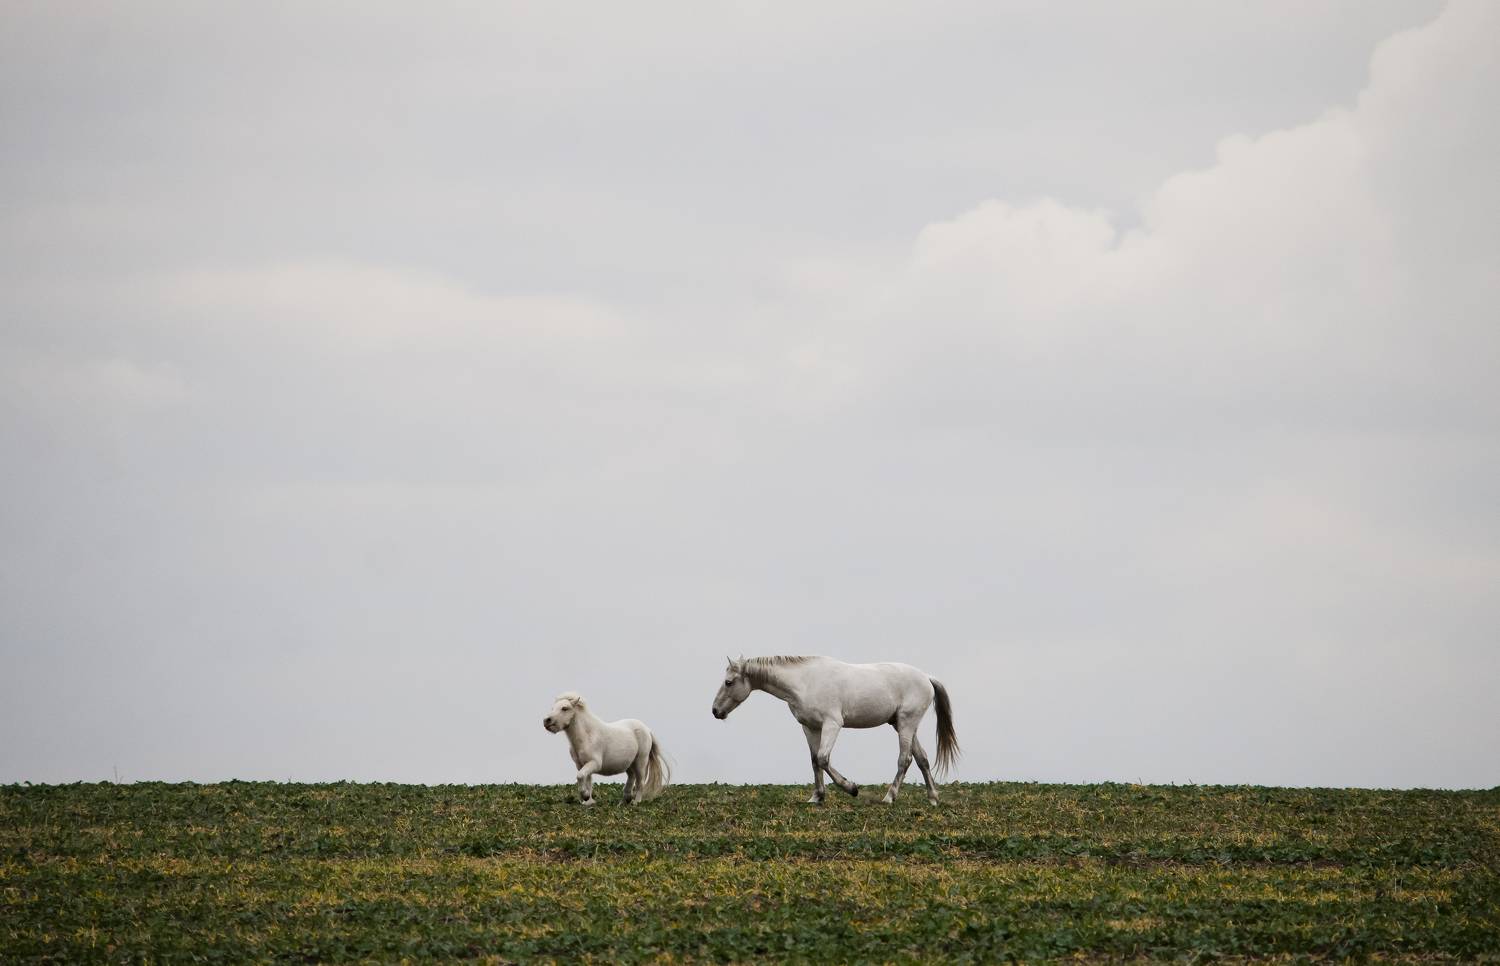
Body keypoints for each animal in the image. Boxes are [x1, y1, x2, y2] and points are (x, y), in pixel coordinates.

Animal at [710, 655, 959, 805]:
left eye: (729, 682)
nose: (715, 711)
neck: (805, 682)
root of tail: (926, 677)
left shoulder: (832, 724)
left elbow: (823, 758)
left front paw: (851, 788)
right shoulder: (810, 727)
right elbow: (814, 761)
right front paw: (816, 797)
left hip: (907, 724)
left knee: (904, 760)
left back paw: (889, 797)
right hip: (902, 725)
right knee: (922, 759)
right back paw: (933, 798)